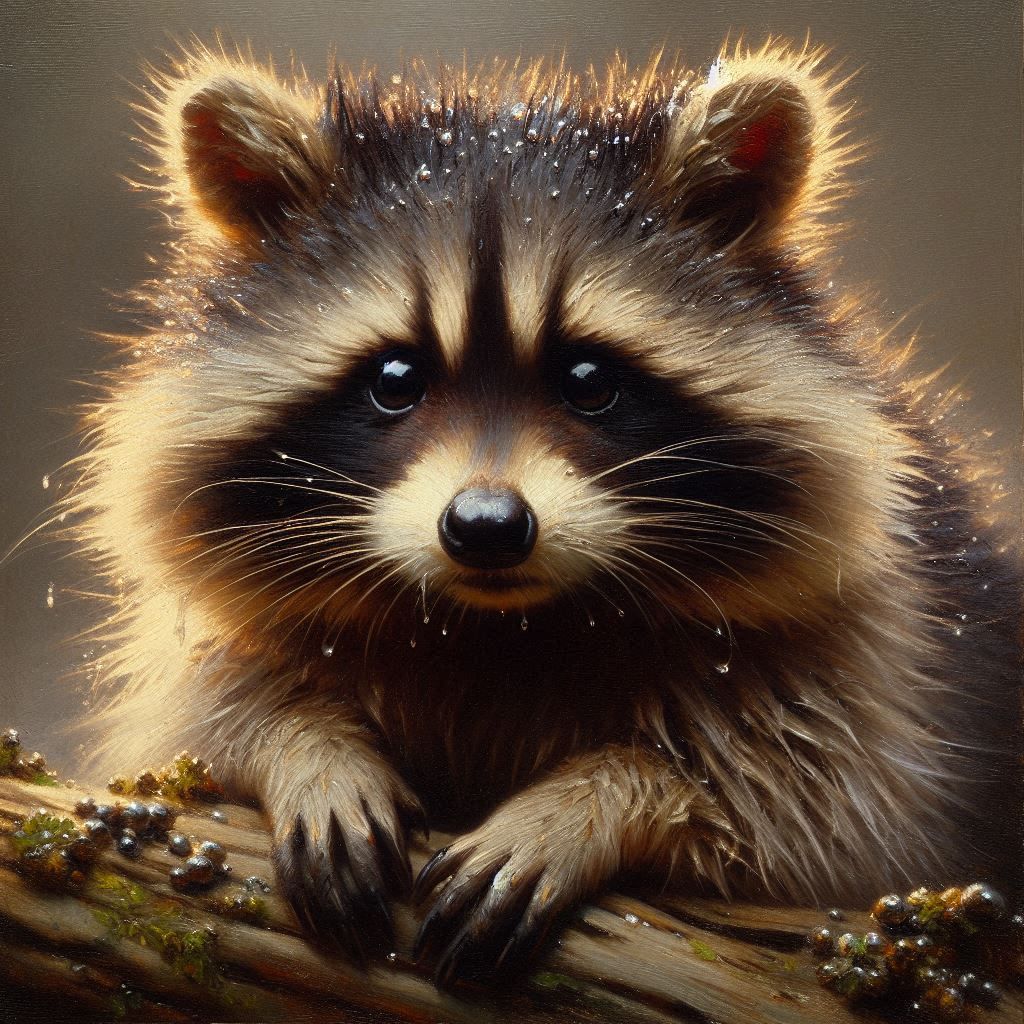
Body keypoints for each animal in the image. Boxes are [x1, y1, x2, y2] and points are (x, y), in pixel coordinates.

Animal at [67, 39, 1019, 981]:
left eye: (588, 379)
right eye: (395, 379)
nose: (486, 528)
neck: (498, 628)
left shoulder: (884, 659)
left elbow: (819, 821)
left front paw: (600, 799)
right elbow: (200, 724)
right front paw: (303, 743)